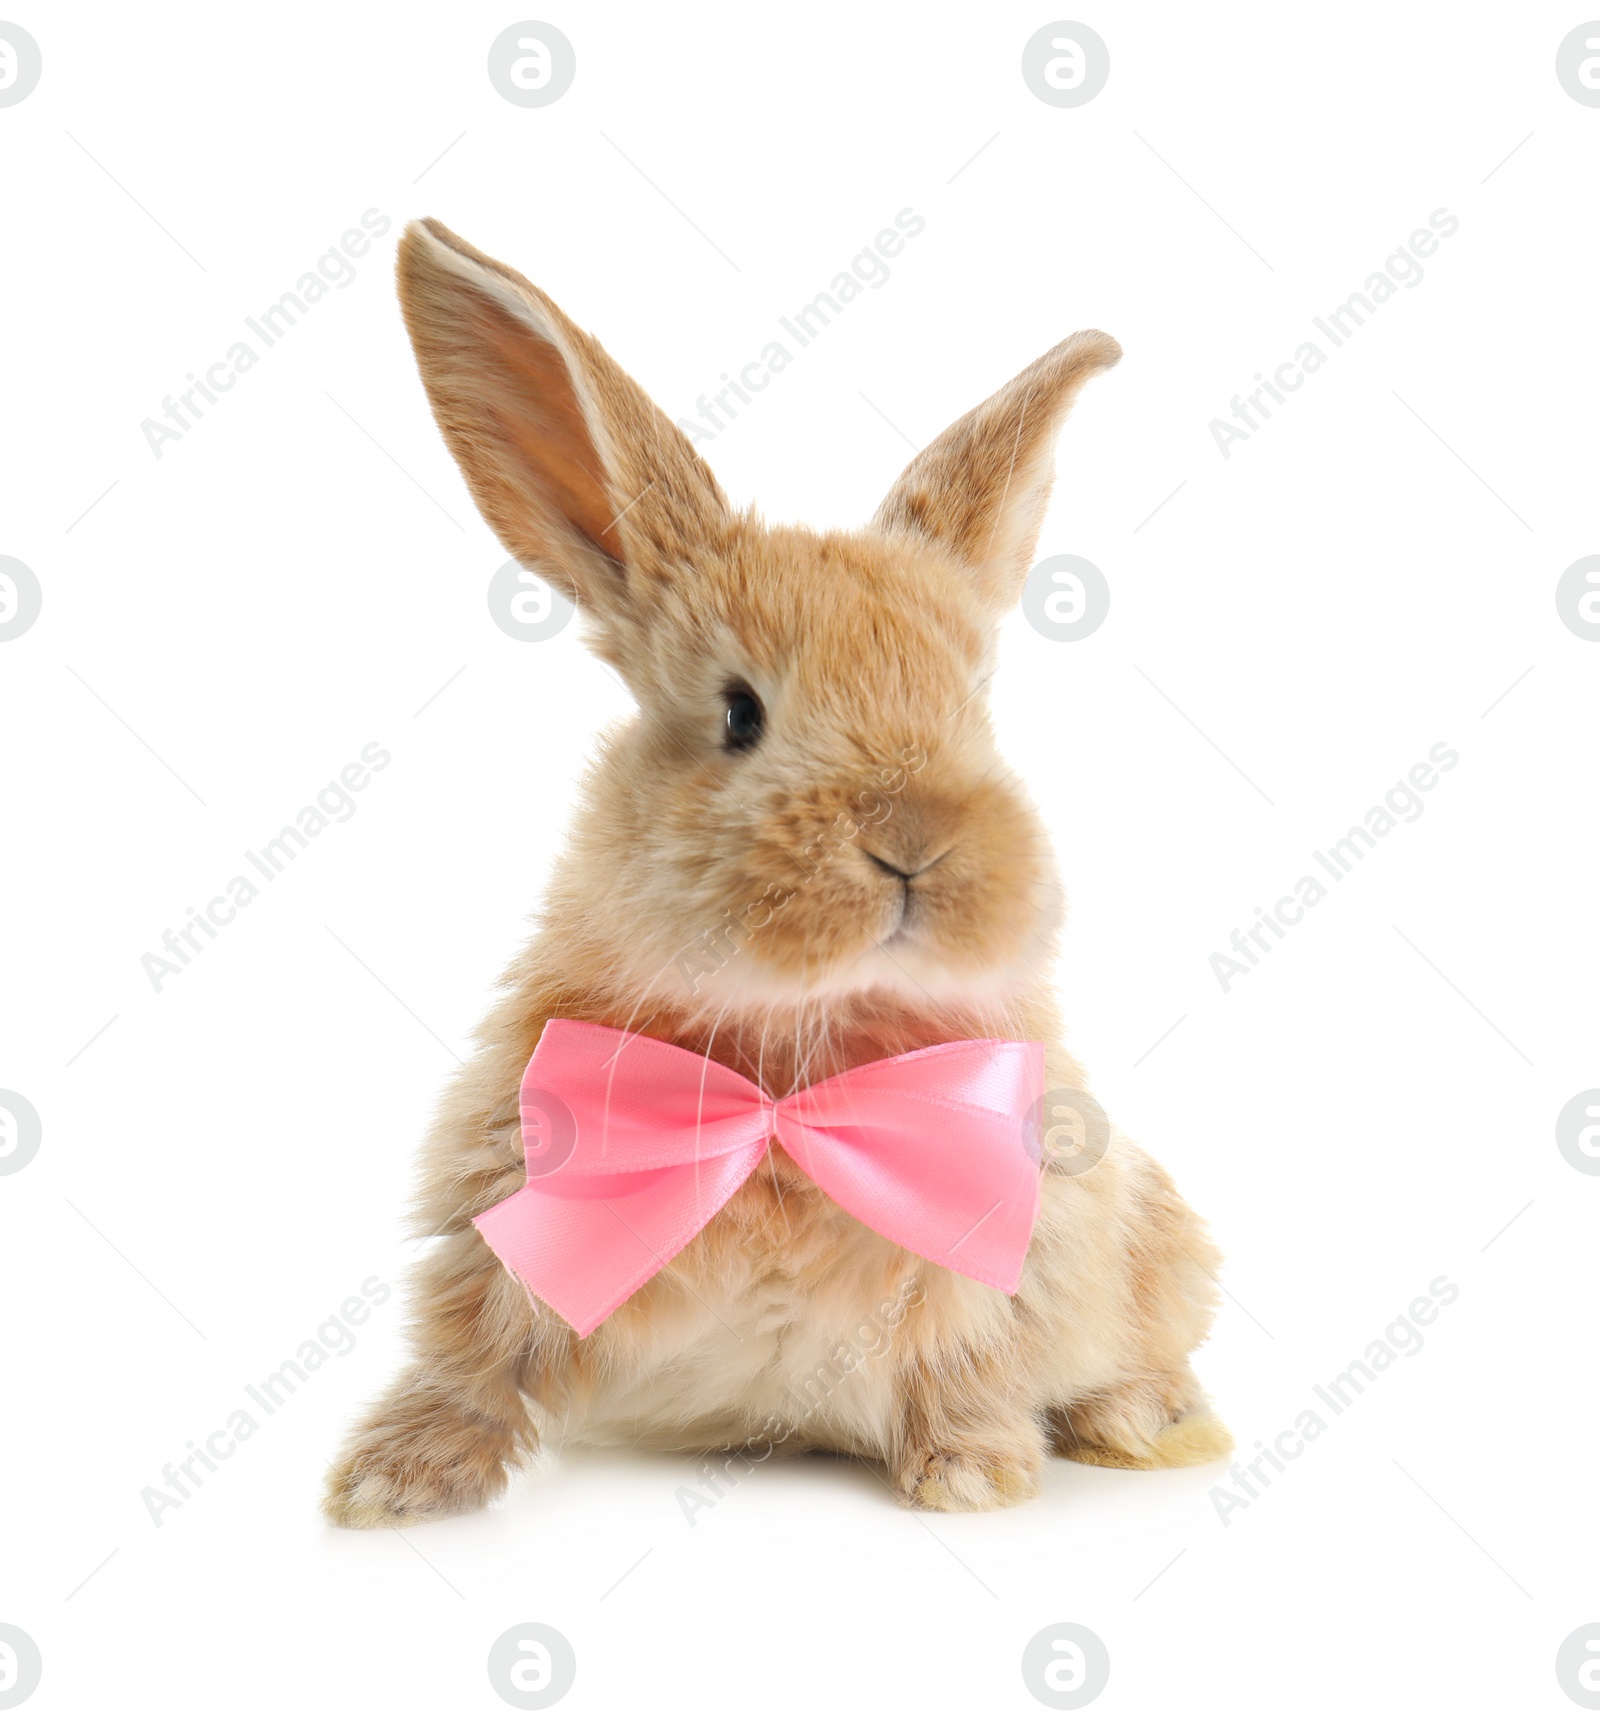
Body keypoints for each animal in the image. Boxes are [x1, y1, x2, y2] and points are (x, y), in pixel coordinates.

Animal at [322, 216, 1225, 1531]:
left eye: (974, 707)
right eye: (739, 713)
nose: (914, 840)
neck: (789, 1067)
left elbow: (967, 1357)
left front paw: (973, 1476)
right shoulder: (499, 1211)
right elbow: (471, 1354)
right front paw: (392, 1484)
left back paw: (1149, 1423)